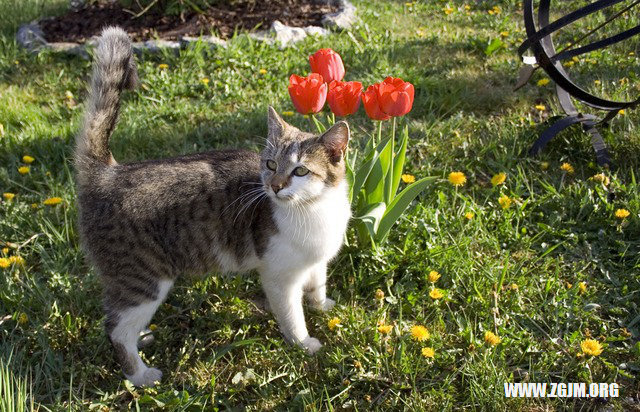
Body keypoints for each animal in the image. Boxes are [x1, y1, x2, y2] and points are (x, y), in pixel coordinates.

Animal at [77, 27, 352, 388]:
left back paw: (143, 337)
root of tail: (109, 172)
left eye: (301, 171)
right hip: (142, 279)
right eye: (270, 164)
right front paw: (304, 343)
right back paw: (140, 375)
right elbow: (293, 316)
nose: (275, 186)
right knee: (115, 329)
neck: (313, 210)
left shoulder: (316, 261)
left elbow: (318, 284)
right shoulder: (279, 278)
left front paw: (323, 305)